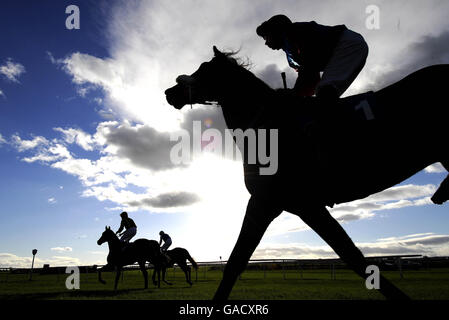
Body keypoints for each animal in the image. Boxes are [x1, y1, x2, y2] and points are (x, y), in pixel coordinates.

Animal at [165, 45, 448, 300]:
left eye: (204, 69)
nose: (170, 92)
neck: (271, 128)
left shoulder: (277, 202)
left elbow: (236, 262)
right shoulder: (290, 204)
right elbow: (352, 256)